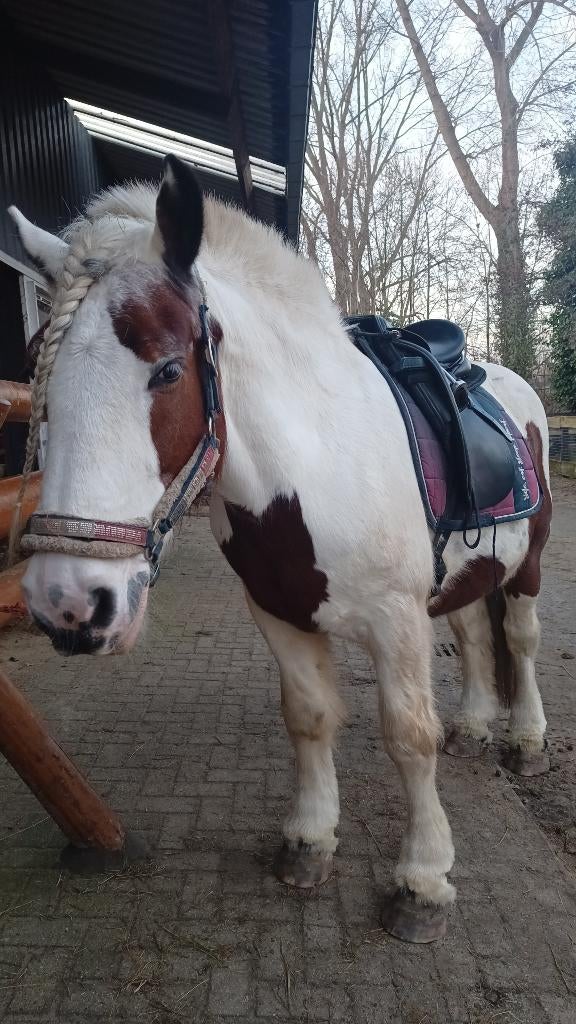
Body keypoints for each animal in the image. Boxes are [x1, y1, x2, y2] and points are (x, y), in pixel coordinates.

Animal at [8, 154, 552, 943]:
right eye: (38, 373)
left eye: (168, 369)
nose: (70, 602)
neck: (314, 465)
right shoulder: (278, 613)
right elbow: (310, 717)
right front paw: (310, 840)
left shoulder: (397, 621)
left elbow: (409, 737)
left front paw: (423, 880)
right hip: (466, 573)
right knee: (478, 636)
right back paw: (478, 725)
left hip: (529, 564)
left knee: (520, 639)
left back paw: (528, 741)